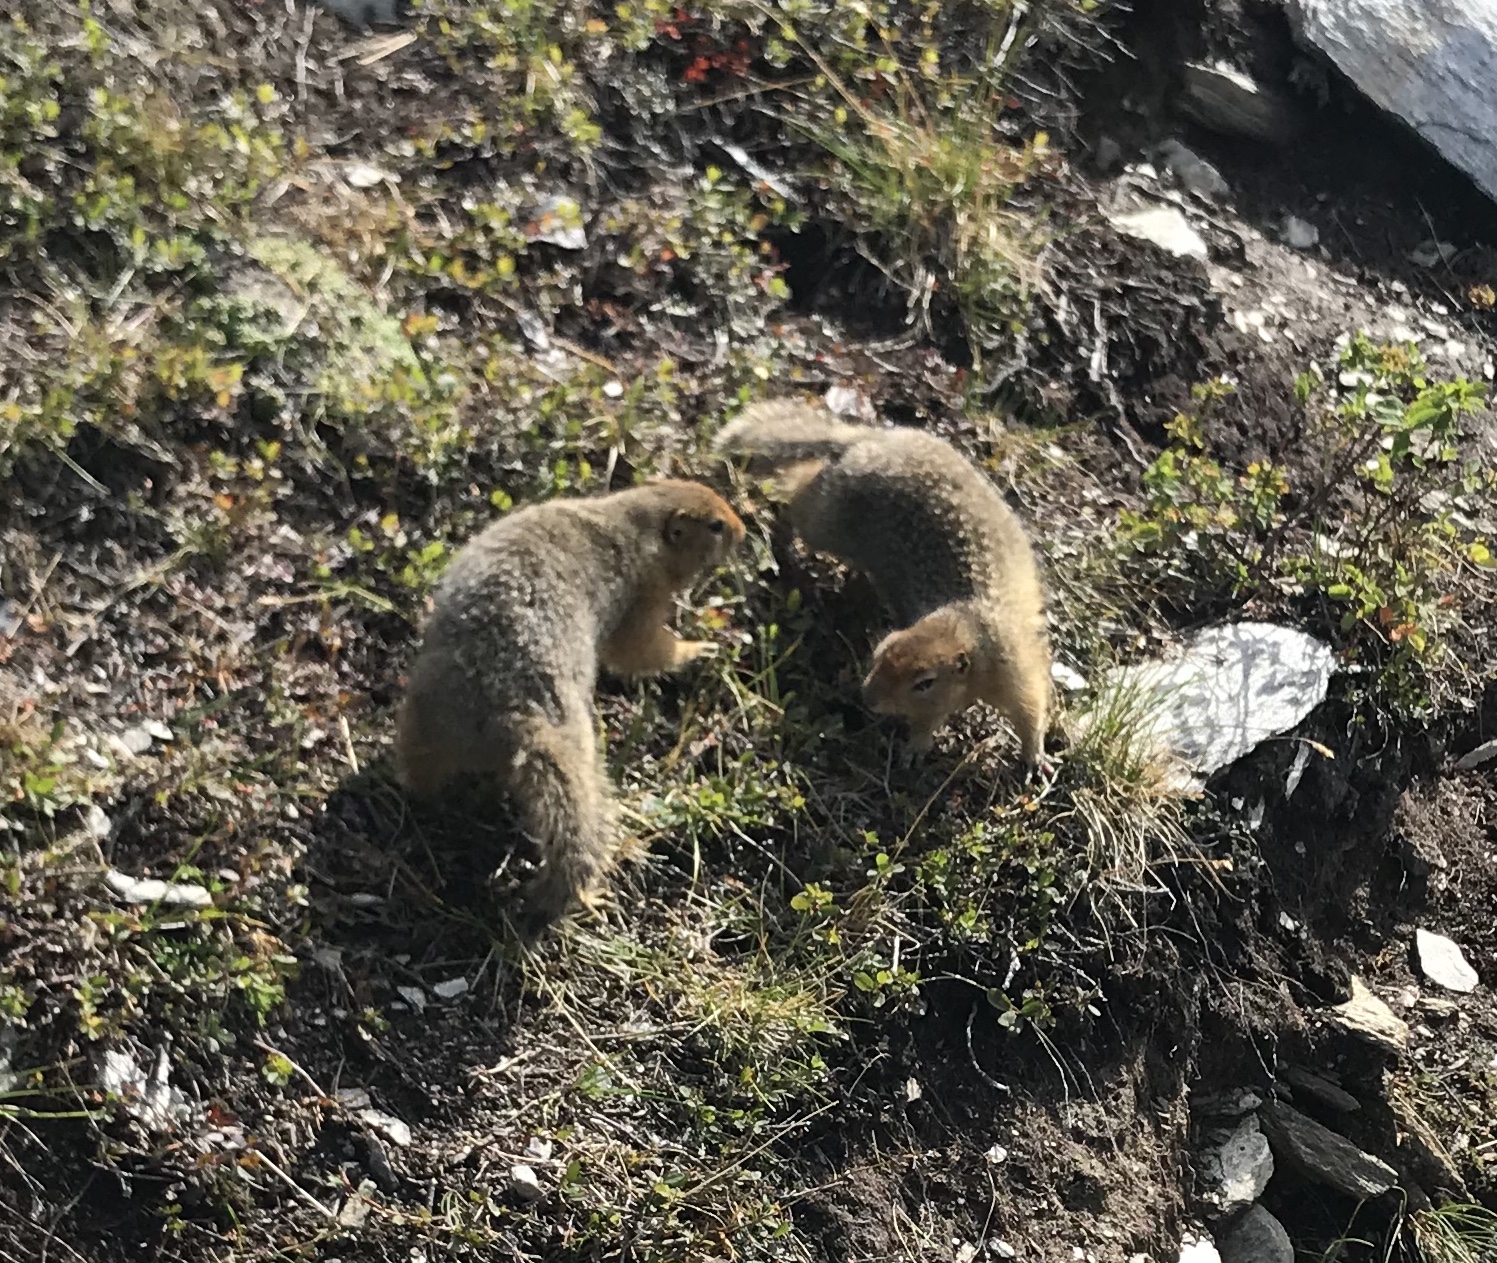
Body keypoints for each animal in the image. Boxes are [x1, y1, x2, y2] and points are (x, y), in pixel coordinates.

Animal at [393, 479, 745, 933]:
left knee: (420, 767)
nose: (742, 529)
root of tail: (509, 713)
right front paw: (701, 649)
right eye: (716, 525)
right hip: (578, 749)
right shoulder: (644, 596)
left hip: (424, 713)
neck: (635, 520)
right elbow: (639, 648)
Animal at [713, 399, 1053, 768]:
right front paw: (914, 749)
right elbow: (928, 722)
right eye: (881, 651)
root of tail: (869, 439)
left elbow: (1031, 711)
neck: (968, 625)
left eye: (924, 683)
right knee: (798, 499)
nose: (867, 697)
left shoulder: (1016, 670)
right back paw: (780, 540)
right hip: (826, 522)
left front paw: (1035, 756)